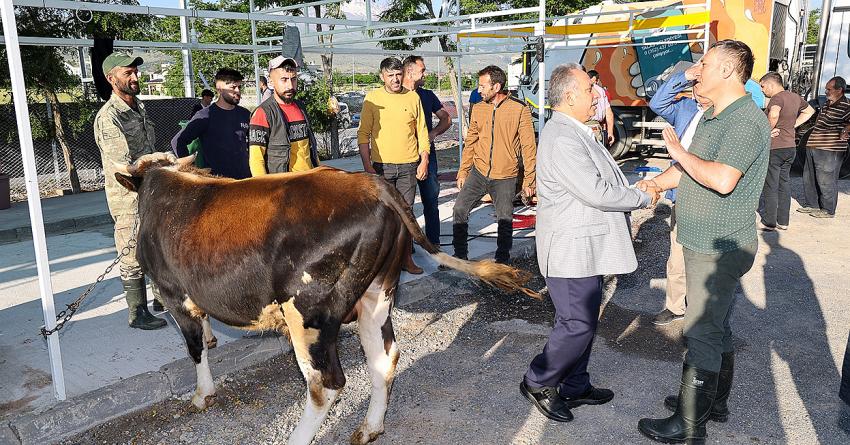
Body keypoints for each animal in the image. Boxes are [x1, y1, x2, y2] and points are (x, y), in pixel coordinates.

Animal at [112, 152, 536, 440]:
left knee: (326, 383)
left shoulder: (172, 292)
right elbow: (204, 334)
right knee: (384, 359)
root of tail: (373, 185)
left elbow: (194, 347)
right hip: (375, 296)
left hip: (307, 312)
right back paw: (369, 428)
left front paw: (203, 395)